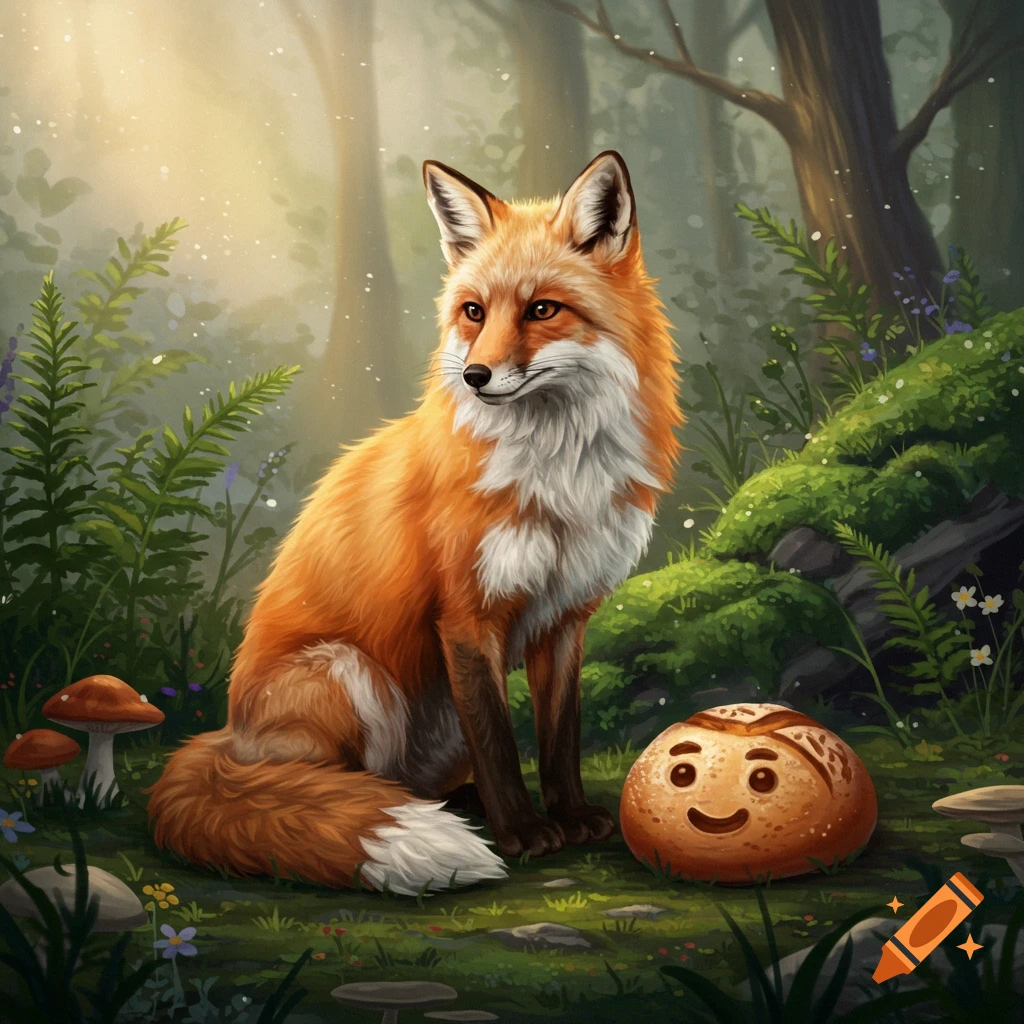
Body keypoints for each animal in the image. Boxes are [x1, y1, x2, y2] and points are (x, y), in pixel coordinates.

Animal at [146, 151, 681, 895]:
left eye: (543, 309)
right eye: (473, 312)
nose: (478, 376)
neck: (557, 476)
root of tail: (228, 735)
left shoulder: (566, 617)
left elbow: (558, 738)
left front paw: (570, 816)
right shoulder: (464, 616)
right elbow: (499, 742)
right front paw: (523, 833)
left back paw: (454, 804)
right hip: (351, 673)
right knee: (328, 789)